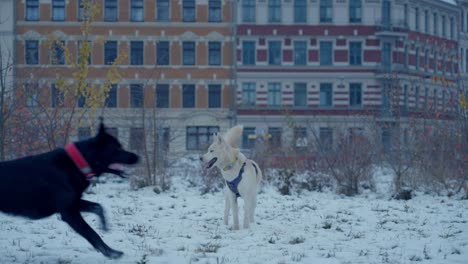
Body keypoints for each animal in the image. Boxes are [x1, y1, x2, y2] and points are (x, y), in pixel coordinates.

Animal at [0, 121, 139, 258]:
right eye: (116, 148)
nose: (138, 157)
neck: (76, 164)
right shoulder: (69, 213)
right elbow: (92, 234)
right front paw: (110, 252)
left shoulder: (74, 202)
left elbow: (98, 207)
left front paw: (104, 226)